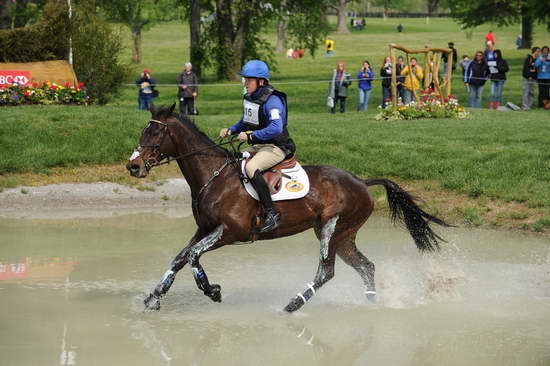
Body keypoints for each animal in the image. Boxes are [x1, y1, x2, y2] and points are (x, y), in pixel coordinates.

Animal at [129, 103, 452, 312]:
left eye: (155, 135)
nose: (133, 166)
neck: (214, 176)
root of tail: (361, 181)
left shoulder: (230, 232)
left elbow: (194, 256)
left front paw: (213, 291)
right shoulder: (205, 229)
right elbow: (180, 258)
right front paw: (154, 298)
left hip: (331, 228)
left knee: (326, 272)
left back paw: (293, 304)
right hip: (343, 235)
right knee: (366, 267)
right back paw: (372, 304)